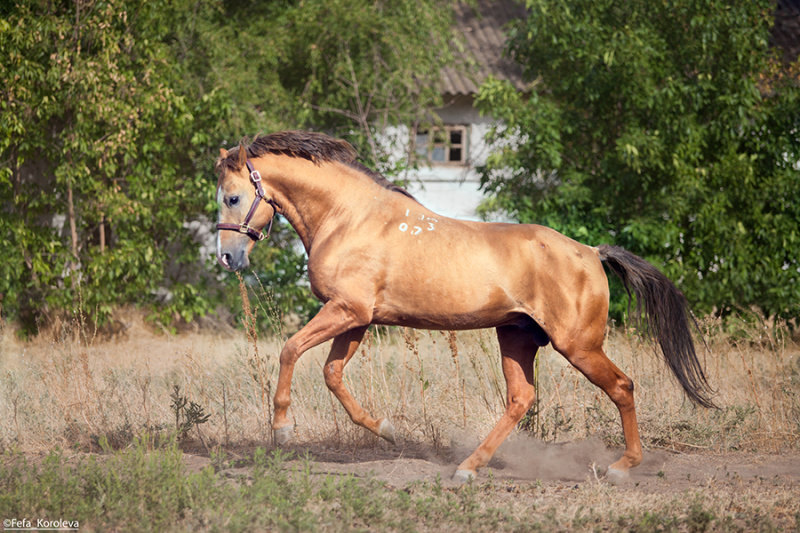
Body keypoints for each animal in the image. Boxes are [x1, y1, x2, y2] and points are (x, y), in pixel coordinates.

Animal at [214, 130, 712, 482]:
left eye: (233, 197)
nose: (228, 258)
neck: (349, 219)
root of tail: (591, 252)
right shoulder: (355, 319)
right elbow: (333, 376)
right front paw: (387, 429)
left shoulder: (347, 311)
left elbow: (290, 350)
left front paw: (282, 428)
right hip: (516, 337)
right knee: (521, 398)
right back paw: (468, 467)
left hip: (578, 345)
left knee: (622, 387)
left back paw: (621, 467)